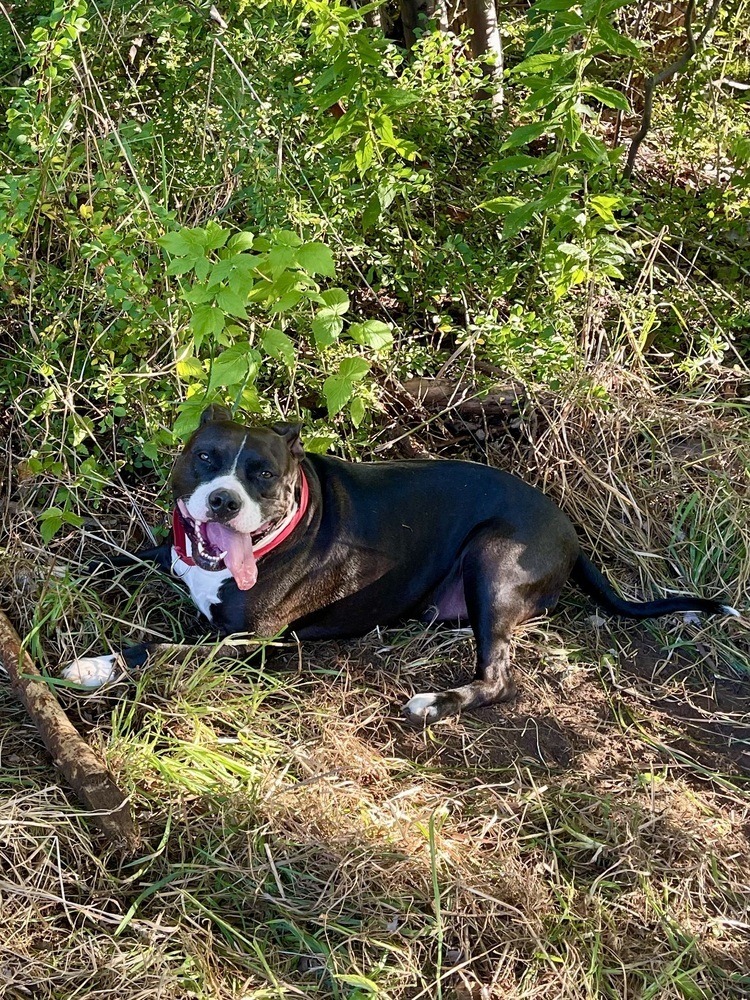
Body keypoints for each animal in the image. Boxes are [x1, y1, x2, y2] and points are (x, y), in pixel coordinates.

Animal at [61, 402, 736, 724]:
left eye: (263, 475)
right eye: (205, 457)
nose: (225, 499)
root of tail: (572, 531)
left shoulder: (244, 641)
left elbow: (156, 648)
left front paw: (95, 665)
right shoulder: (170, 556)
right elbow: (113, 557)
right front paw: (62, 572)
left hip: (494, 562)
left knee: (500, 678)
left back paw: (436, 703)